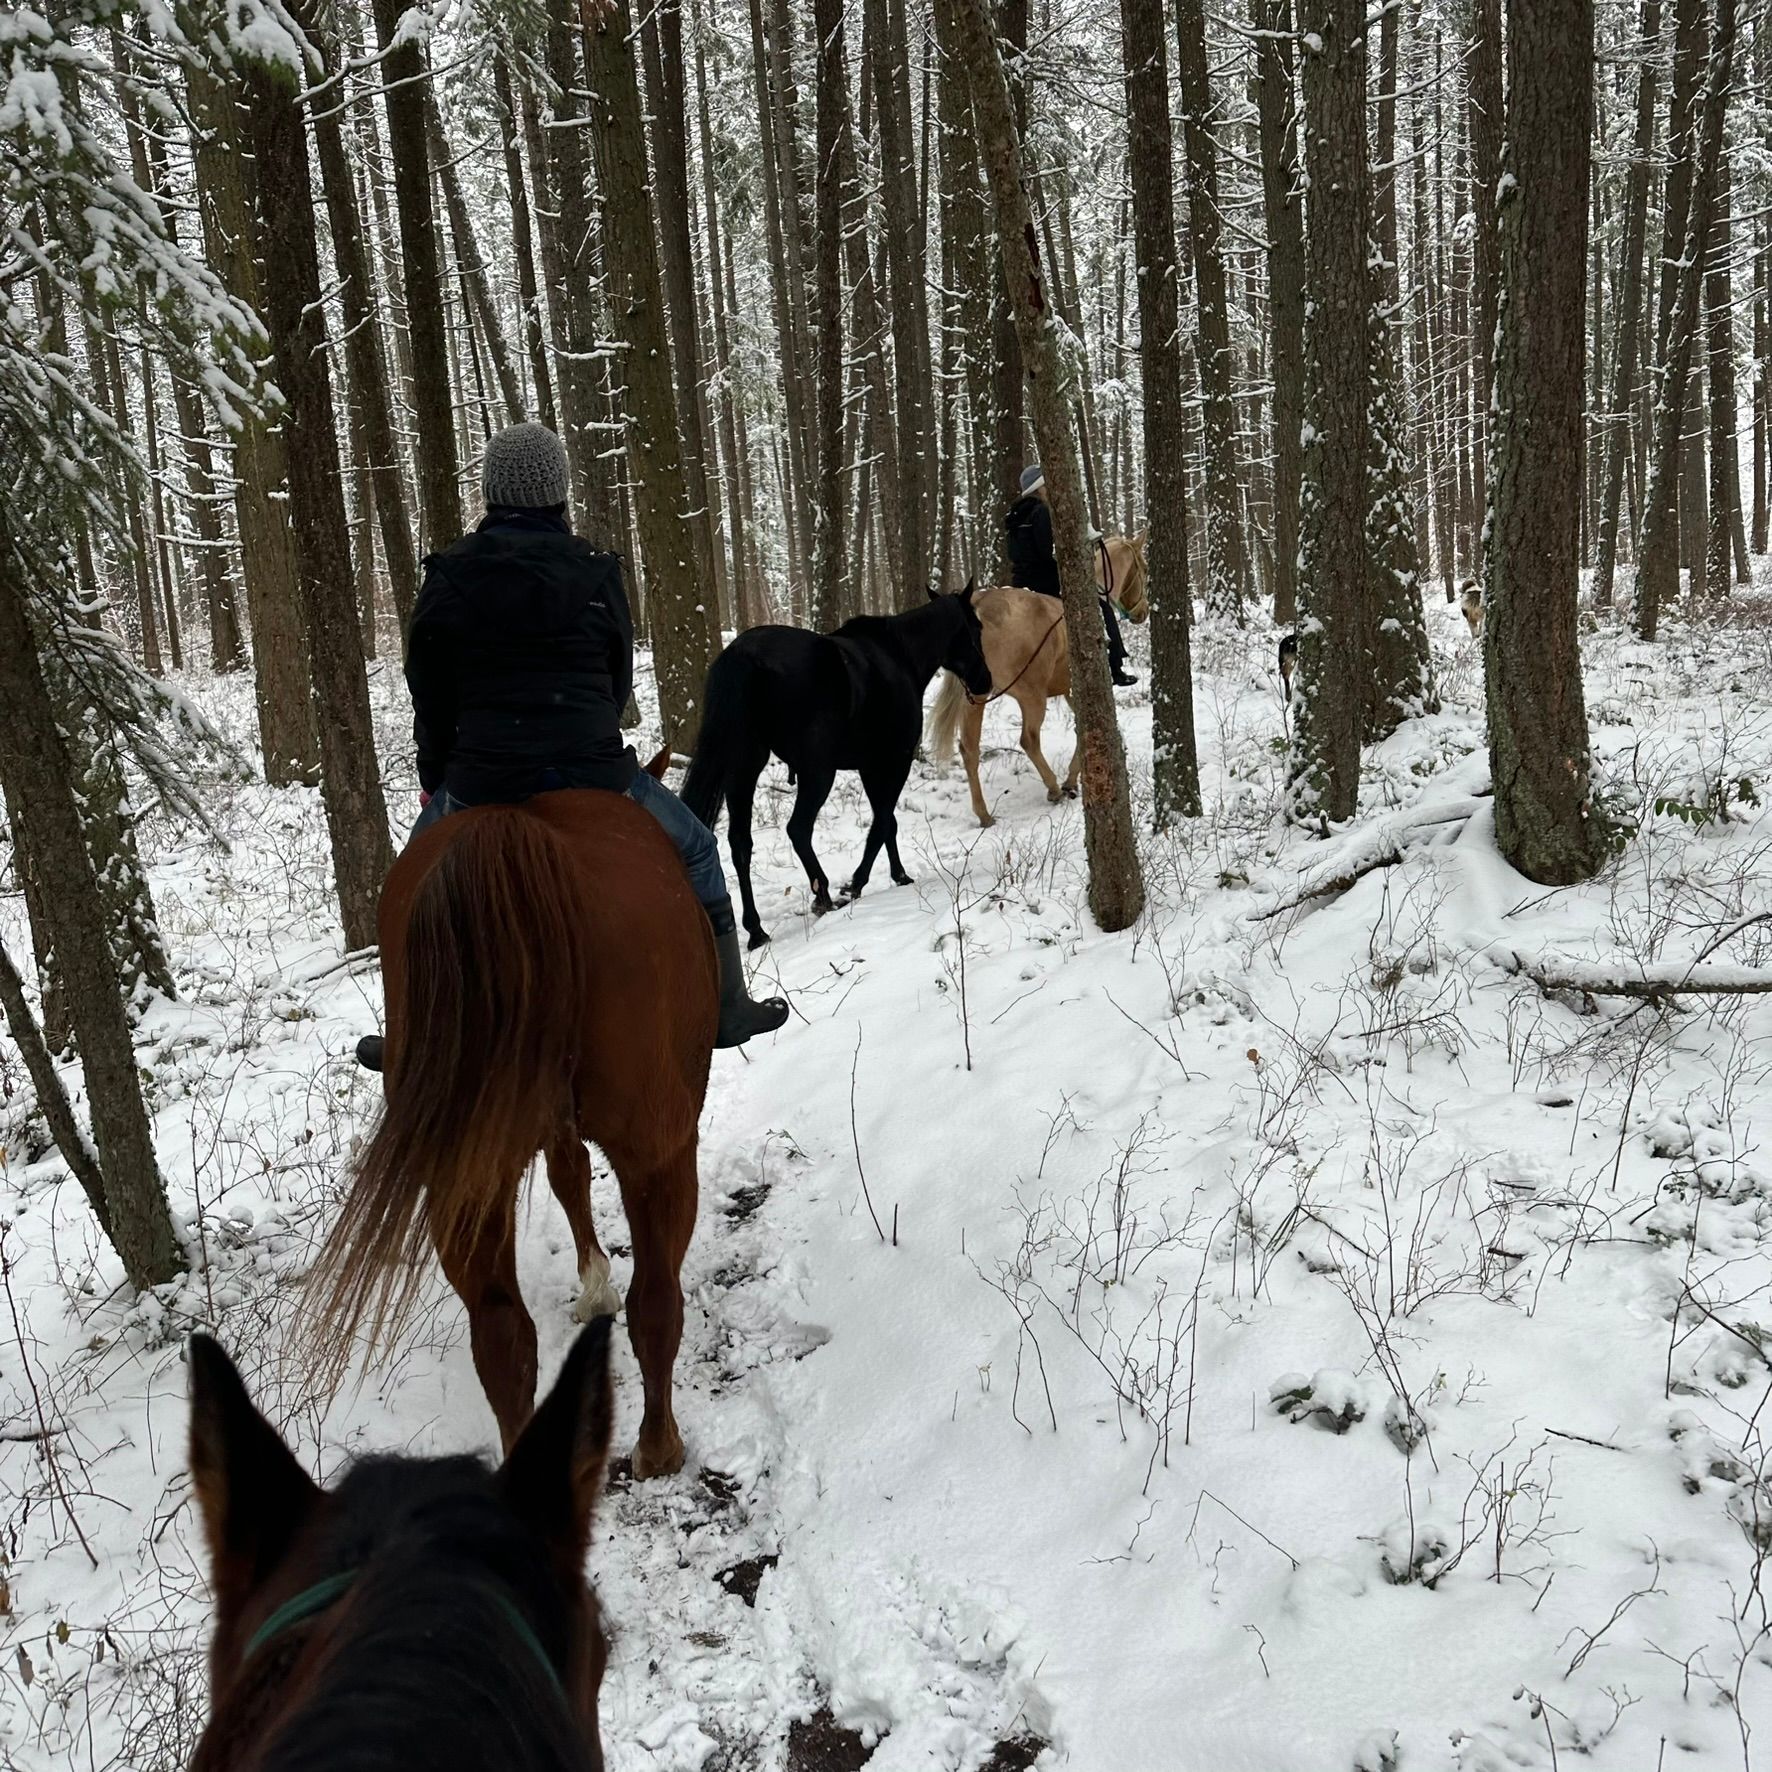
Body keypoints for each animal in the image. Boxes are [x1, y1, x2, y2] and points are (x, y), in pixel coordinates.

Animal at [308, 791, 717, 1480]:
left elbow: (568, 1174)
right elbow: (574, 1179)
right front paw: (597, 1287)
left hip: (464, 1179)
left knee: (502, 1337)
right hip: (657, 1152)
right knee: (657, 1300)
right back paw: (660, 1448)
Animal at [682, 587, 992, 948]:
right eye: (977, 628)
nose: (985, 681)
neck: (899, 654)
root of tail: (742, 655)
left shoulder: (870, 767)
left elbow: (888, 823)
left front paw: (899, 875)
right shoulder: (894, 762)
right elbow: (882, 823)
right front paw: (857, 883)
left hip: (743, 768)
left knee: (740, 843)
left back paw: (756, 930)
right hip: (817, 773)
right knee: (798, 829)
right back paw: (824, 896)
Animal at [927, 585, 1079, 829]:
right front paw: (1070, 781)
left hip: (977, 696)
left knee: (969, 749)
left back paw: (984, 815)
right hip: (1032, 696)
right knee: (1029, 740)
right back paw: (1054, 789)